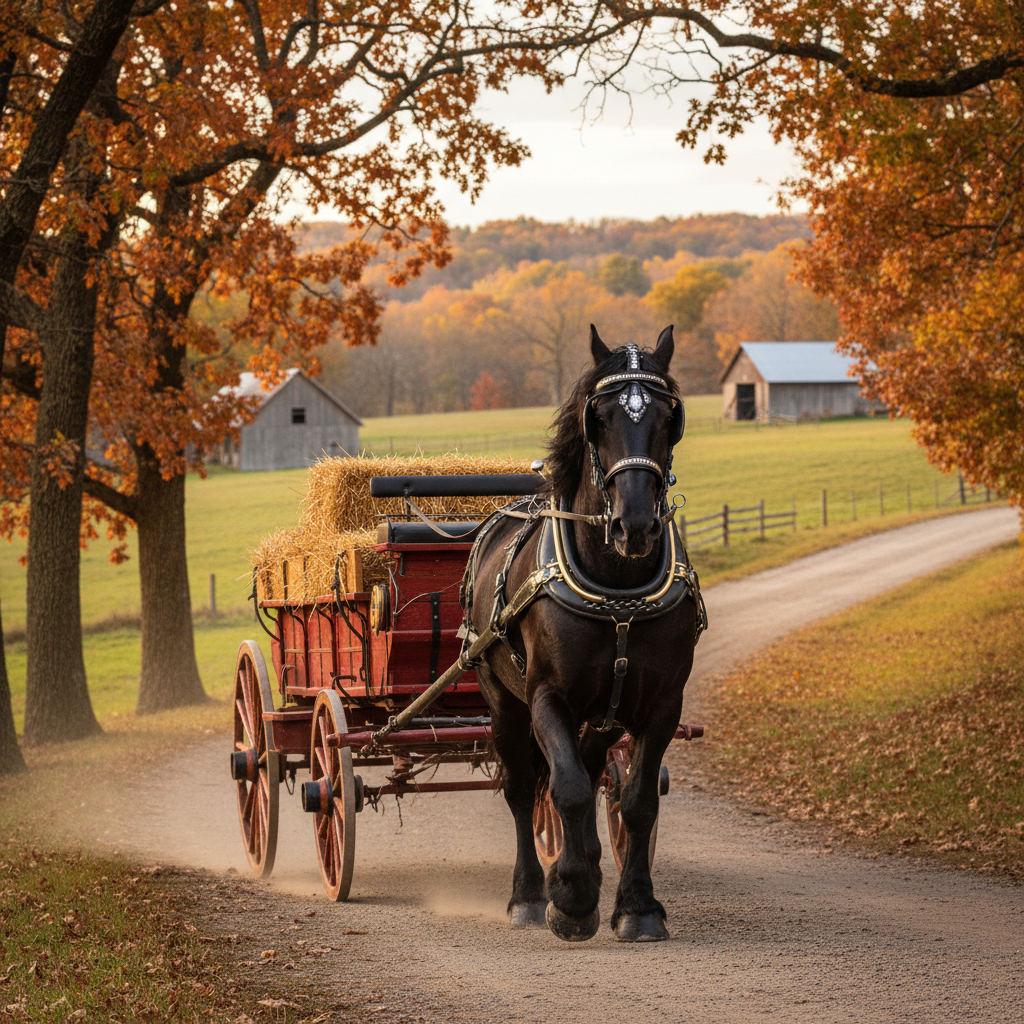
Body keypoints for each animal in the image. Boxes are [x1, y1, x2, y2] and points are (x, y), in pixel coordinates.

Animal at [460, 324, 704, 942]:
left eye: (668, 415)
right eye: (601, 416)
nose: (635, 525)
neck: (617, 584)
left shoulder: (662, 704)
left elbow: (637, 801)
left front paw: (636, 906)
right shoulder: (548, 697)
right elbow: (564, 787)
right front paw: (568, 896)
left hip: (603, 714)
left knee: (594, 775)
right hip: (503, 700)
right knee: (525, 789)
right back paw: (529, 894)